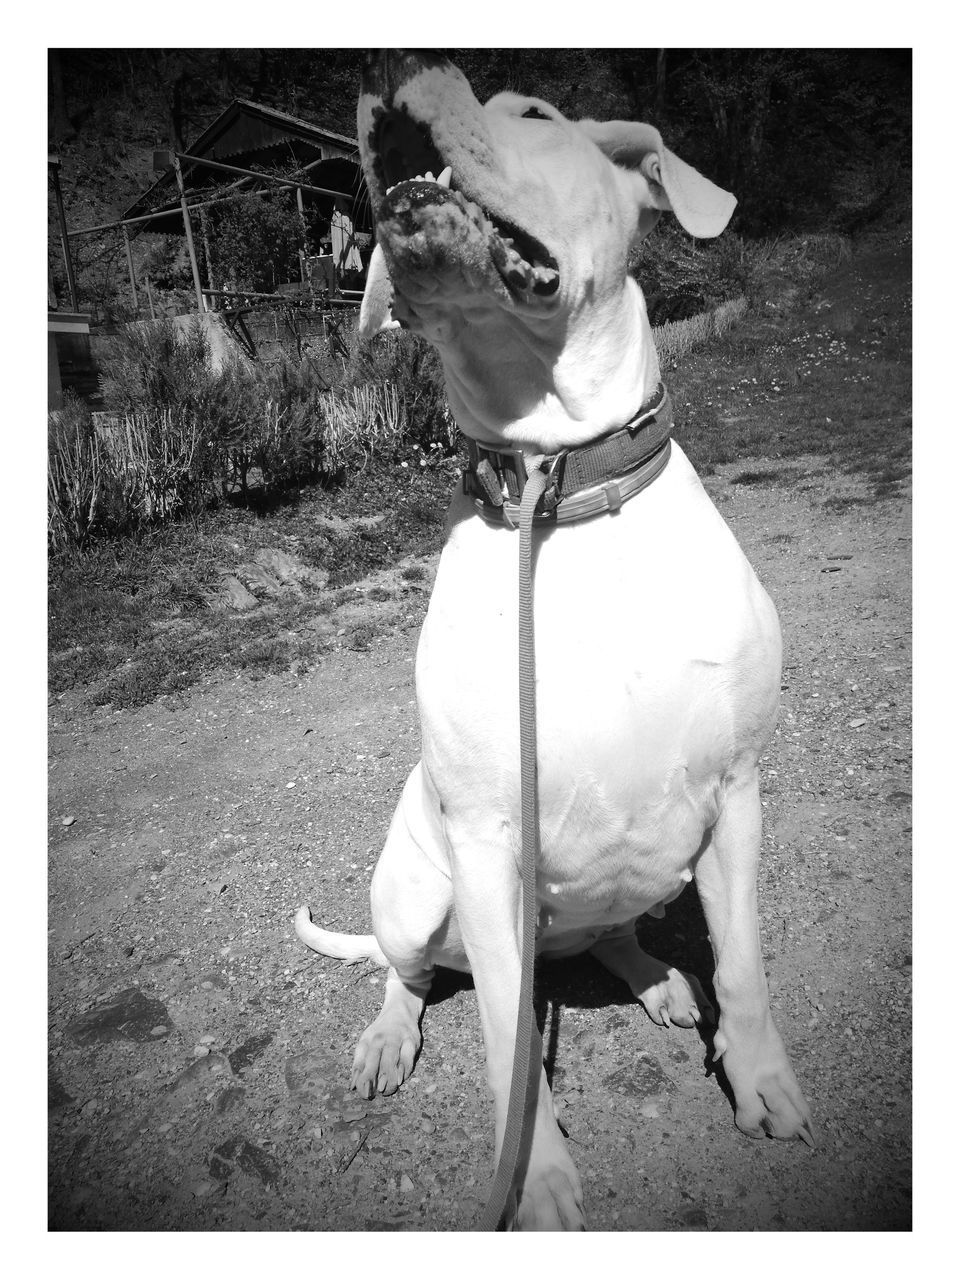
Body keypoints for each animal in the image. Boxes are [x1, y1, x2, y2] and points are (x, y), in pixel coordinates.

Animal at [296, 49, 814, 1228]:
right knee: (406, 970)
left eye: (534, 113)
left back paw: (661, 982)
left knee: (617, 932)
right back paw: (387, 1037)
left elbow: (748, 967)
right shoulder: (489, 846)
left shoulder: (738, 792)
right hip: (419, 891)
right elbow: (504, 1041)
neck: (558, 483)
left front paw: (761, 1081)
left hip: (644, 877)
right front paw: (534, 1182)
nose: (398, 81)